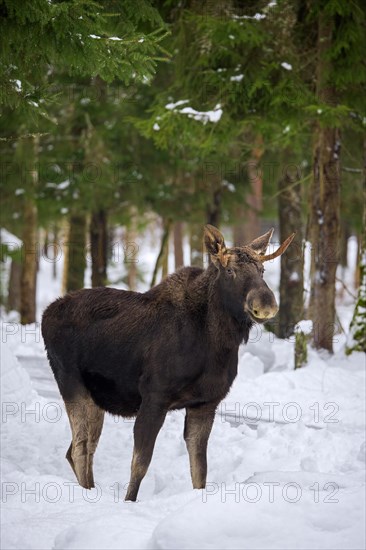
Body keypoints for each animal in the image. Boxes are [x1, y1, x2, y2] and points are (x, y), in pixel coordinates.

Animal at [42, 226, 294, 502]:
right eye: (230, 271)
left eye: (262, 270)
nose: (266, 304)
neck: (216, 345)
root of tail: (45, 315)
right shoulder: (155, 397)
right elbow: (140, 464)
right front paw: (129, 502)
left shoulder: (205, 403)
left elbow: (200, 470)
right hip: (71, 384)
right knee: (79, 448)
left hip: (96, 398)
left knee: (80, 449)